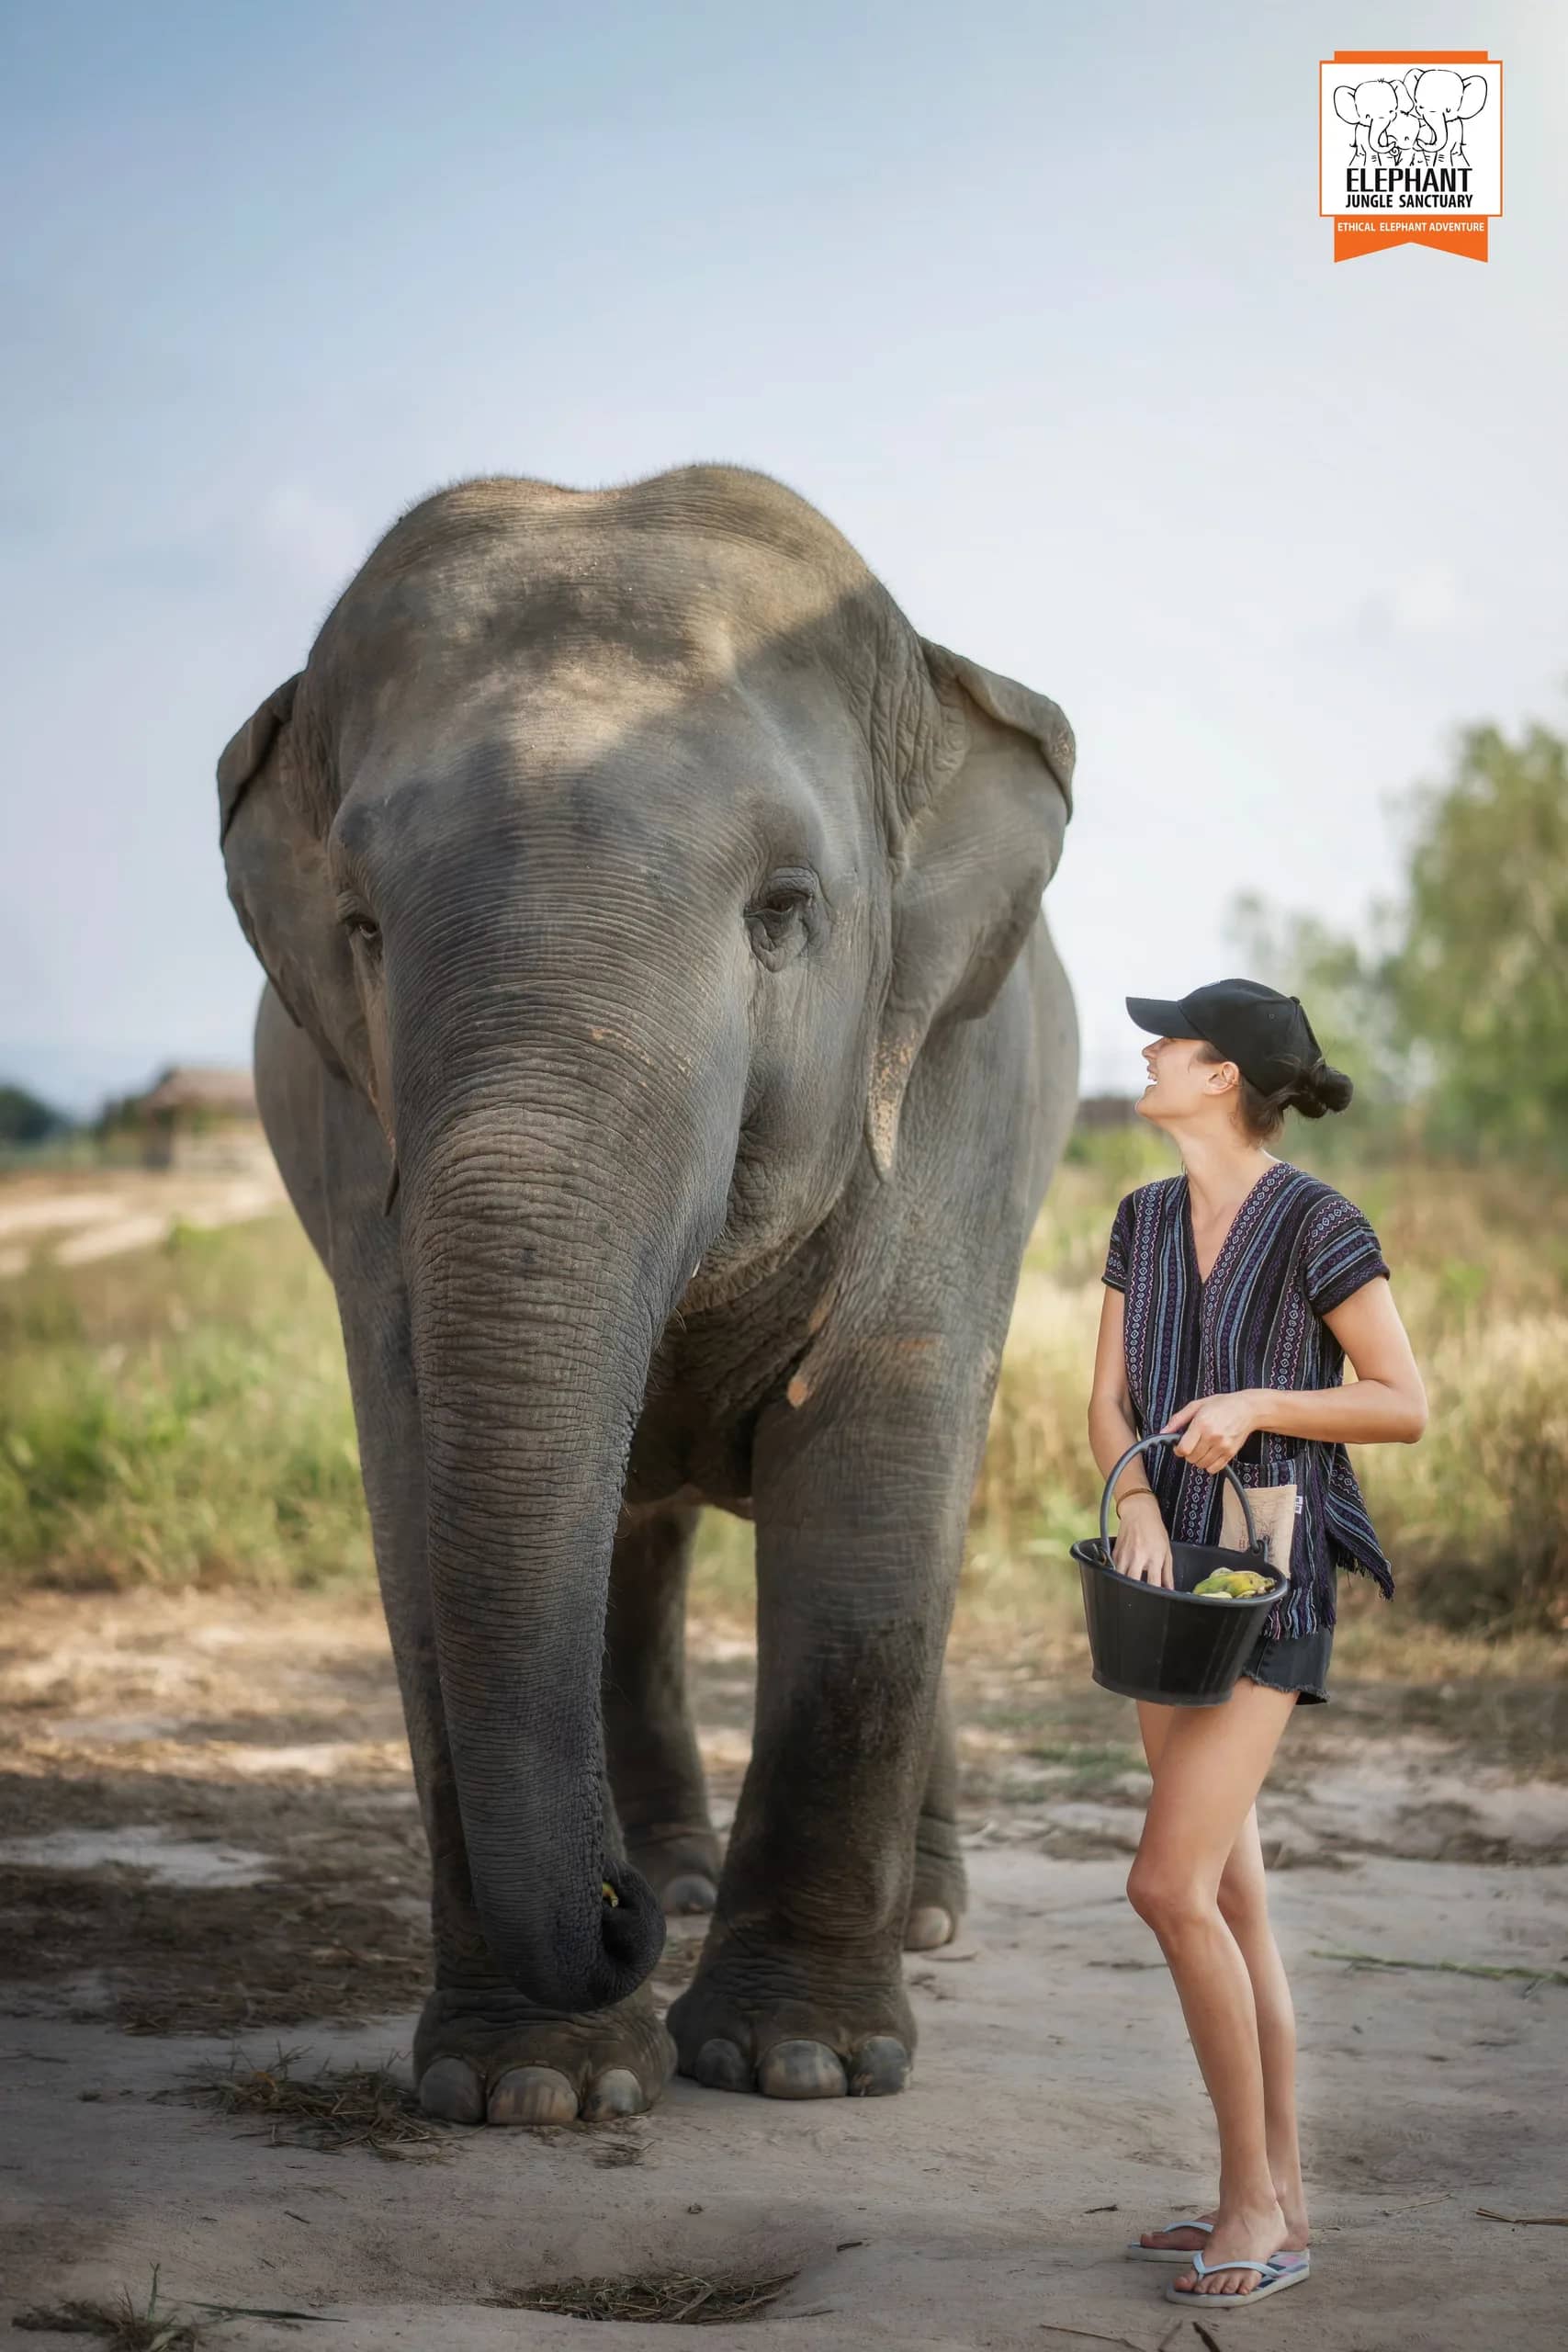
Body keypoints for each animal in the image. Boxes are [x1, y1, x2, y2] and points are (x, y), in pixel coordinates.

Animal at [217, 465, 1078, 2128]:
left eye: (783, 912)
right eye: (361, 929)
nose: (610, 1916)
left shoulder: (953, 1082)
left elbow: (875, 1481)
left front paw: (798, 2069)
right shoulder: (357, 1163)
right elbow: (419, 1481)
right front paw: (529, 2092)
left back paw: (912, 1918)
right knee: (635, 1531)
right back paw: (679, 1884)